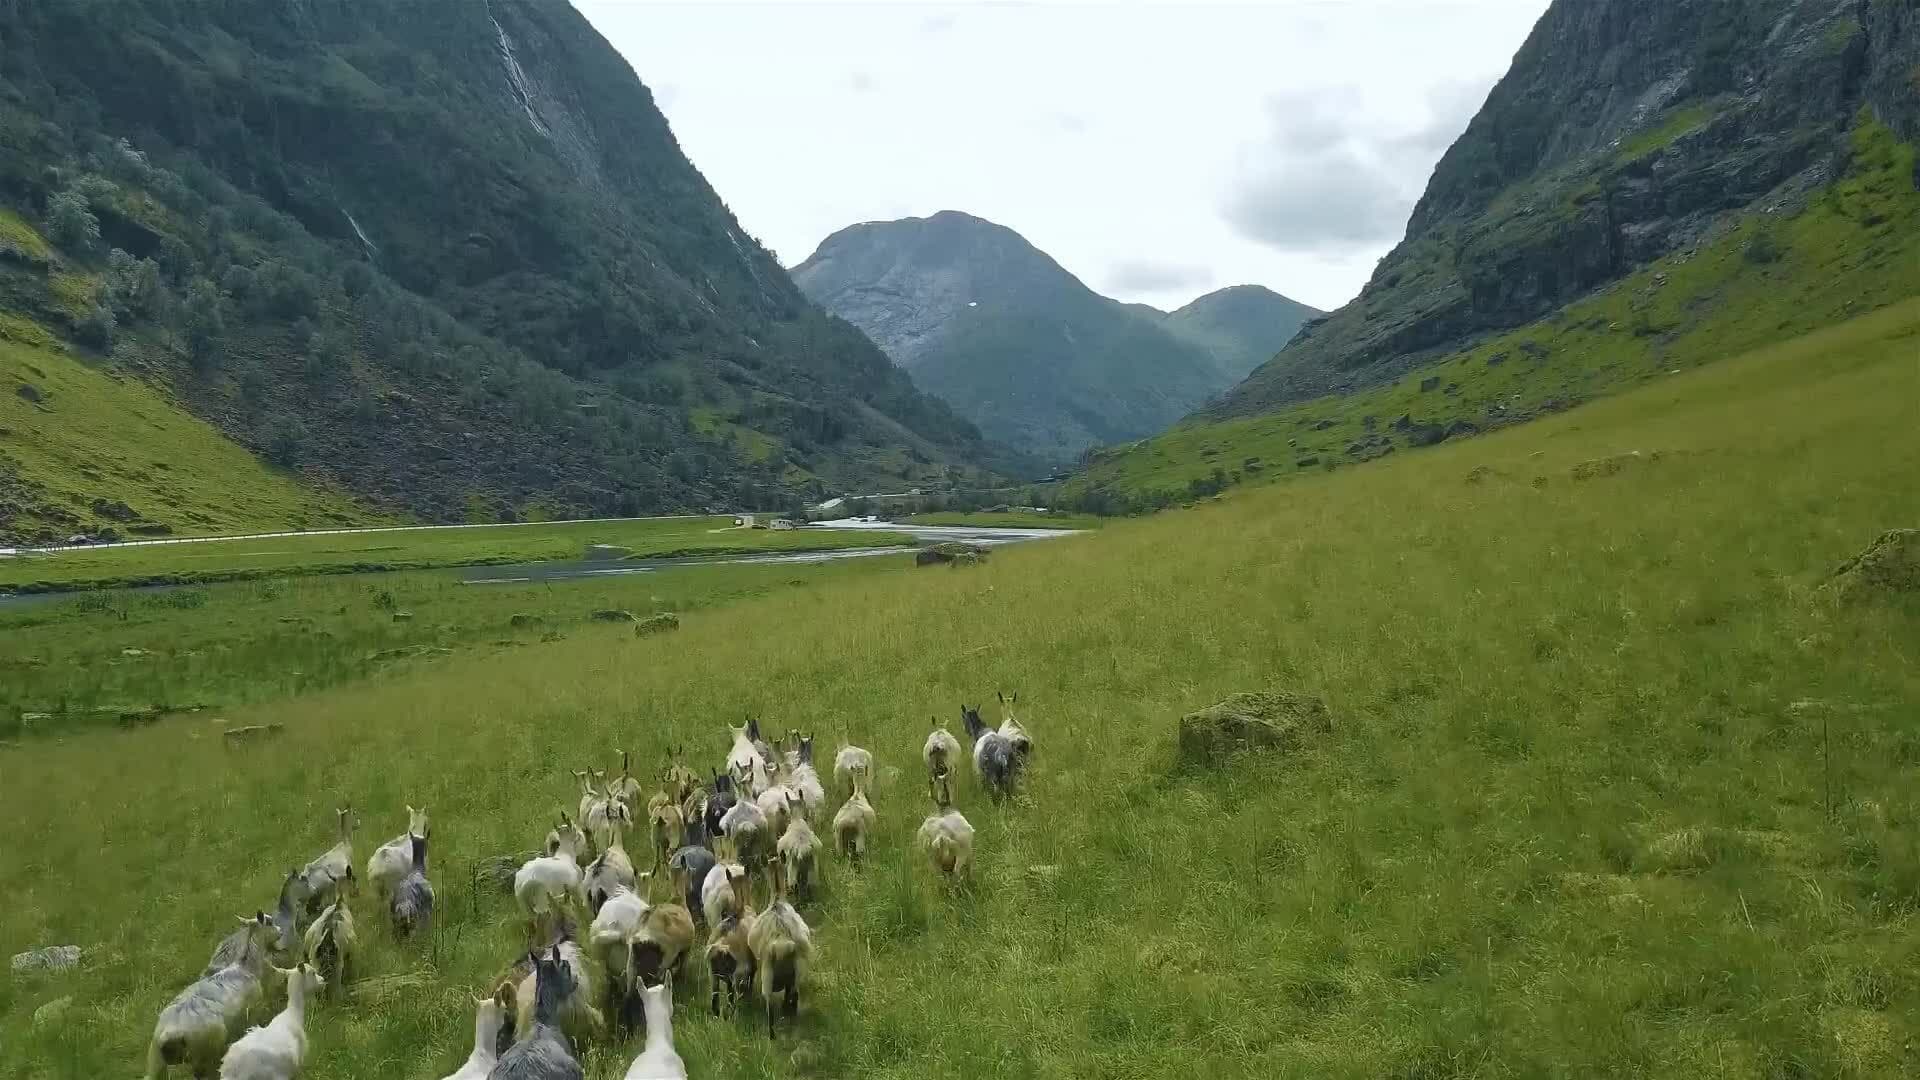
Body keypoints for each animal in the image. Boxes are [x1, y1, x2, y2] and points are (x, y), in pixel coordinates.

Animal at [147, 914, 275, 1079]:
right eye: (270, 922)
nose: (281, 931)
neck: (246, 967)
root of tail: (168, 1032)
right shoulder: (252, 1011)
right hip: (206, 1049)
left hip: (157, 1061)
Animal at [746, 861, 813, 1039]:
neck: (777, 898)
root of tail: (781, 942)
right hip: (795, 968)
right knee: (792, 994)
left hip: (769, 972)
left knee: (773, 1002)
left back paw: (772, 1034)